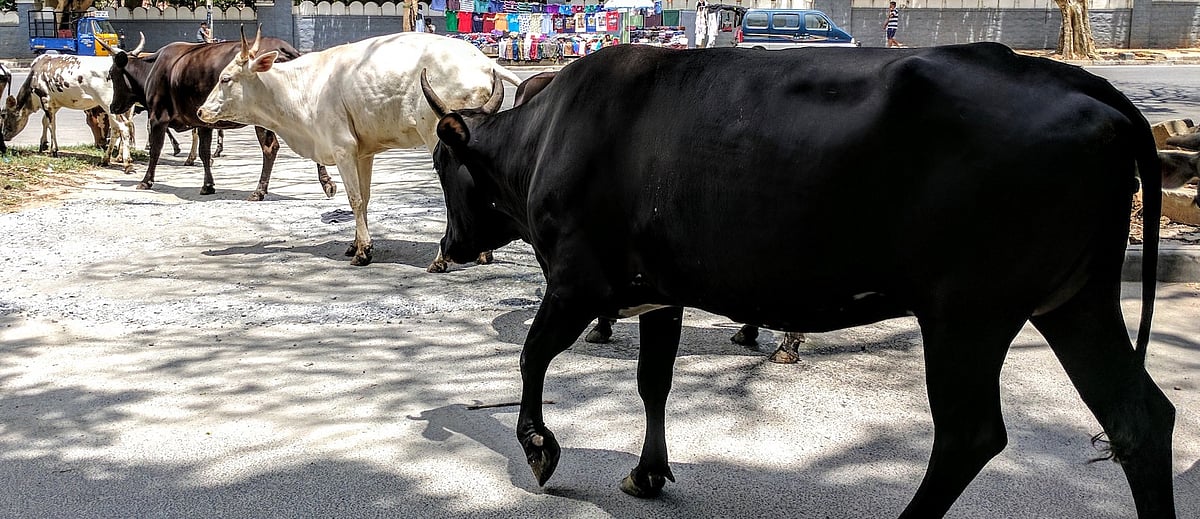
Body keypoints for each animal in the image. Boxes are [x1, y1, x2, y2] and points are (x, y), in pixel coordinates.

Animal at [3, 52, 136, 172]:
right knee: (117, 129)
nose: (4, 136)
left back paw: (126, 163)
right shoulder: (55, 104)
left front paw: (53, 150)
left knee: (124, 126)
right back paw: (106, 160)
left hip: (108, 104)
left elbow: (51, 125)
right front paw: (43, 144)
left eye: (4, 115)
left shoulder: (46, 99)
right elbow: (45, 121)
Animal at [103, 35, 336, 202]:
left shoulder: (158, 117)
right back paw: (327, 184)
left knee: (270, 149)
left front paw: (146, 181)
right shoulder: (203, 122)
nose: (113, 106)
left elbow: (156, 150)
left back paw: (259, 191)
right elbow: (204, 153)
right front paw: (208, 185)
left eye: (111, 75)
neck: (153, 68)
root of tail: (286, 49)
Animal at [197, 30, 521, 268]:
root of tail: (484, 62)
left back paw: (441, 259)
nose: (201, 111)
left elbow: (353, 199)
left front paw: (363, 252)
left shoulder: (342, 148)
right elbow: (364, 199)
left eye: (225, 79)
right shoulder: (363, 153)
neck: (303, 88)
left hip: (438, 135)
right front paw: (356, 244)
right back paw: (483, 252)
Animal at [420, 43, 1177, 517]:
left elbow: (532, 355)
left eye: (442, 165)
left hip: (969, 312)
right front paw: (647, 472)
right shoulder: (659, 290)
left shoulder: (578, 280)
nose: (450, 246)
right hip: (1074, 301)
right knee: (1139, 418)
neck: (546, 136)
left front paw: (538, 449)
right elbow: (653, 382)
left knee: (970, 434)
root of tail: (1079, 82)